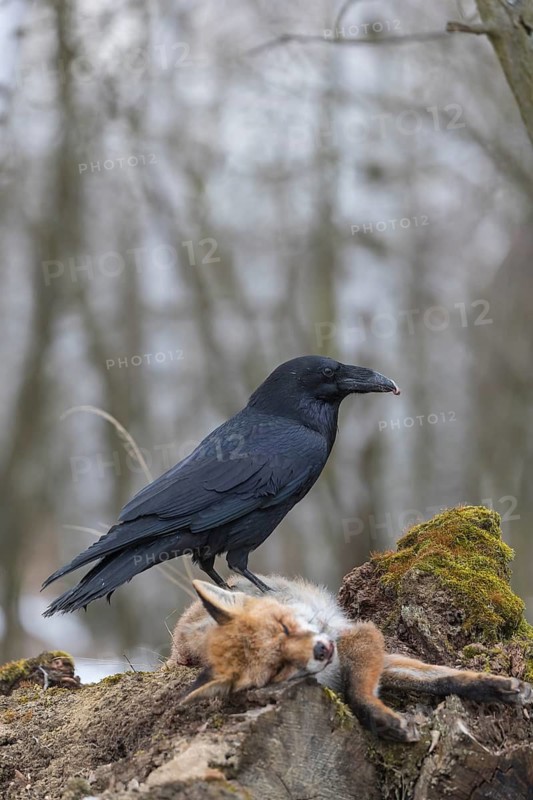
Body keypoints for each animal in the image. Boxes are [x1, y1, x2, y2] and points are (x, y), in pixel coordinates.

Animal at [169, 575, 533, 742]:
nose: (321, 651)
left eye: (285, 627)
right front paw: (383, 720)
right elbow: (366, 692)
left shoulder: (357, 635)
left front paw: (496, 687)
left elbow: (439, 678)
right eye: (279, 667)